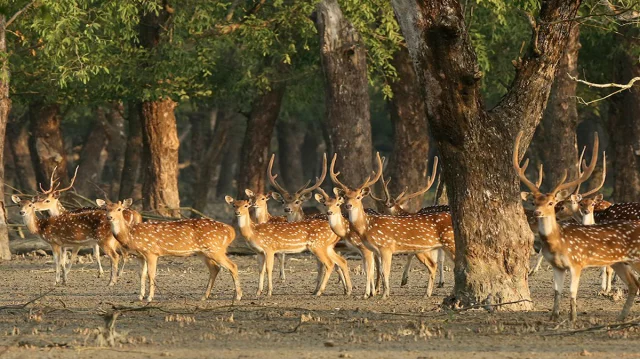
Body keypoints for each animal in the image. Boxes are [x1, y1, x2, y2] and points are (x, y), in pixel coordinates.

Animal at [99, 200, 241, 304]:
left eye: (119, 209)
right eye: (106, 208)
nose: (109, 217)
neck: (131, 235)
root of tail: (231, 231)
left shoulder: (151, 252)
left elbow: (151, 274)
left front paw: (149, 298)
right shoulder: (140, 256)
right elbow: (141, 274)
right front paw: (140, 296)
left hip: (215, 249)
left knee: (233, 266)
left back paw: (238, 296)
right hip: (204, 252)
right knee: (215, 268)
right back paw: (204, 296)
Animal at [330, 153, 456, 300]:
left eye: (358, 197)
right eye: (345, 196)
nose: (348, 205)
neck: (367, 227)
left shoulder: (386, 247)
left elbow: (384, 271)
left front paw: (384, 294)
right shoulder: (375, 250)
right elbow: (373, 270)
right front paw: (370, 293)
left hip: (449, 243)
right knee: (434, 265)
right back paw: (428, 293)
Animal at [512, 133, 640, 324]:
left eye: (553, 203)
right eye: (534, 201)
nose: (536, 212)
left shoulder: (576, 263)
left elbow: (573, 291)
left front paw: (573, 317)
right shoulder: (558, 267)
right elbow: (557, 291)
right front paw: (554, 316)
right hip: (620, 262)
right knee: (633, 284)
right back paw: (621, 316)